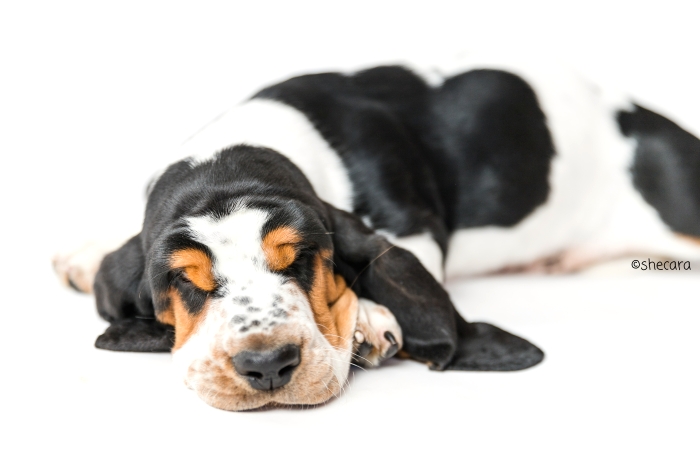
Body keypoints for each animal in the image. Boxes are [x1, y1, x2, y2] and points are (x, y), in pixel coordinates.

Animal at [52, 56, 700, 412]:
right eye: (186, 282)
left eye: (299, 259)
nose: (268, 365)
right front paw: (87, 255)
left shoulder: (412, 230)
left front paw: (366, 319)